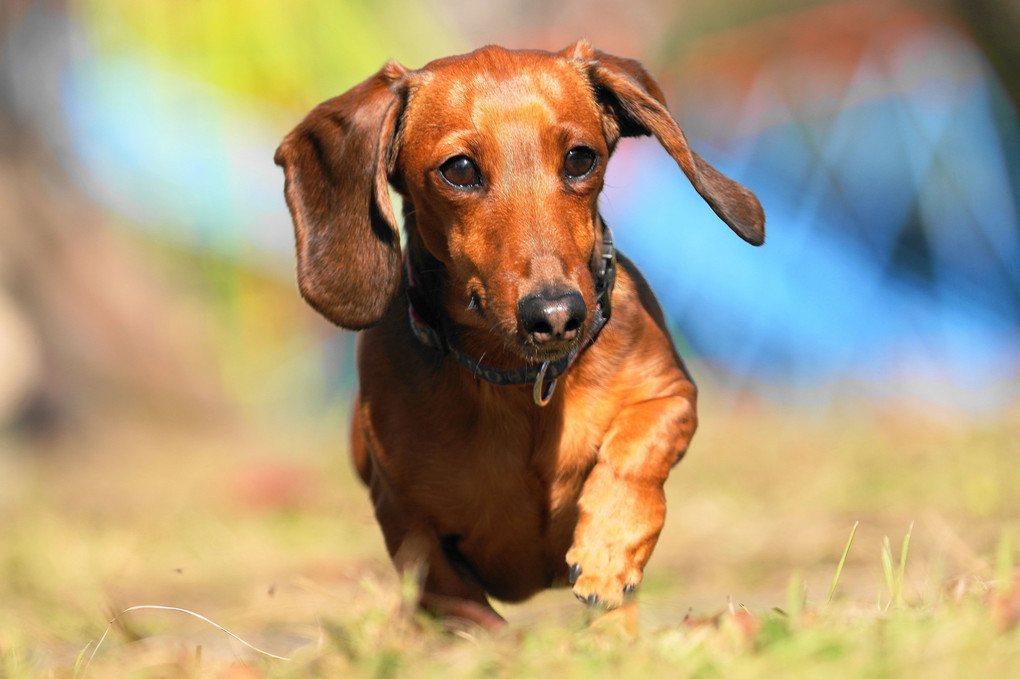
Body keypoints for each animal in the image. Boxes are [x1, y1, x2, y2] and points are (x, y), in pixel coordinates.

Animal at [275, 41, 762, 623]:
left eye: (581, 158)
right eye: (459, 169)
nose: (555, 315)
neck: (520, 381)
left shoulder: (672, 395)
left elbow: (636, 447)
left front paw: (608, 547)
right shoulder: (410, 528)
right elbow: (470, 613)